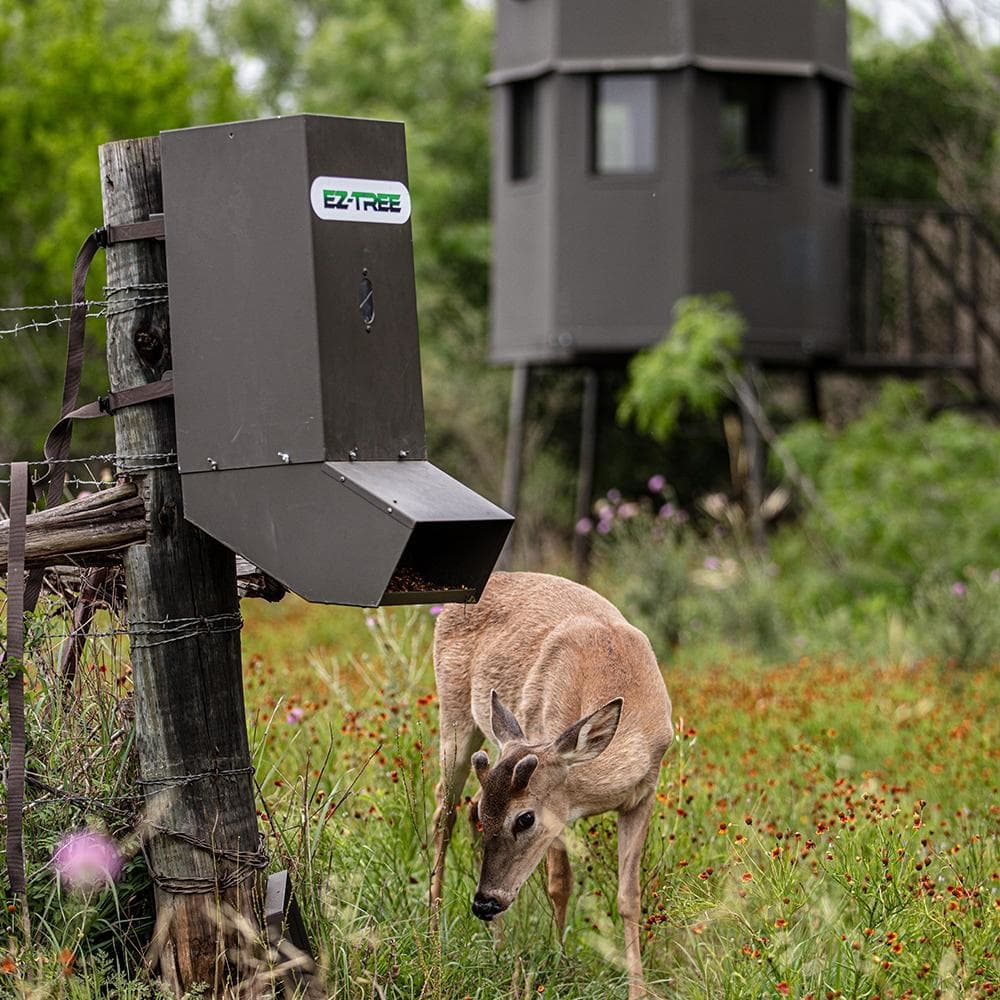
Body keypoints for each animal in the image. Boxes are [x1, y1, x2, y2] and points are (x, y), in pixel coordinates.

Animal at [429, 571, 673, 999]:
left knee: (468, 807)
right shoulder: (560, 802)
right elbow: (560, 883)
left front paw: (638, 989)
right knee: (443, 813)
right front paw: (559, 962)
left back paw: (498, 946)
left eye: (524, 818)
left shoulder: (643, 792)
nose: (484, 903)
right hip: (455, 714)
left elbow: (629, 896)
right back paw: (432, 934)